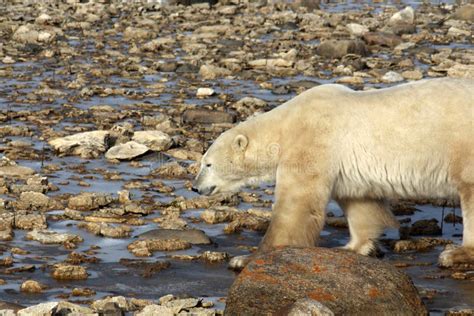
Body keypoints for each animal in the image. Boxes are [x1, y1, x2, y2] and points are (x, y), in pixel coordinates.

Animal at [193, 78, 474, 270]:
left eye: (207, 164)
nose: (195, 187)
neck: (284, 126)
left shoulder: (312, 139)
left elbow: (295, 206)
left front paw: (245, 259)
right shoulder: (348, 167)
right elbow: (361, 203)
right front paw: (352, 247)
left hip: (463, 146)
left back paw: (455, 254)